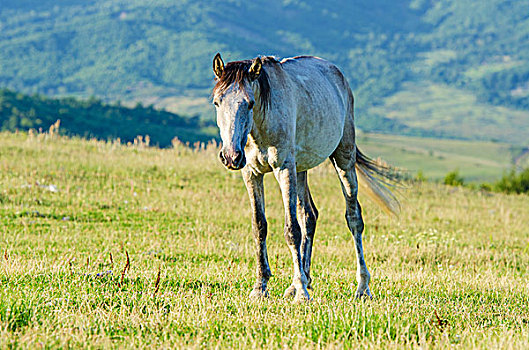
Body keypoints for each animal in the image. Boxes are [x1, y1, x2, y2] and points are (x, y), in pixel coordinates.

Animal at [212, 52, 398, 300]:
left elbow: (292, 230)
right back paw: (301, 281)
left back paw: (361, 287)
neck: (262, 123)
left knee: (354, 219)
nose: (231, 156)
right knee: (309, 216)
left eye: (250, 103)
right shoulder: (251, 173)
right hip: (301, 170)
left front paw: (301, 292)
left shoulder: (284, 169)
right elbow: (259, 226)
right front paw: (261, 287)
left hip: (343, 158)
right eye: (217, 102)